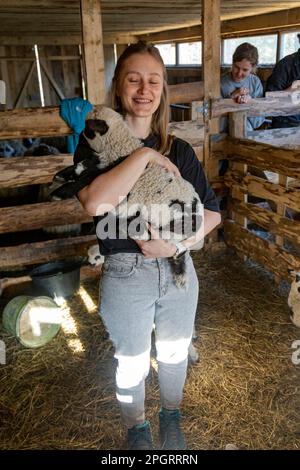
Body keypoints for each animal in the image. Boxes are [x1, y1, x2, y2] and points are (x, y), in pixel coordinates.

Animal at [51, 106, 204, 288]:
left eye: (87, 130)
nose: (78, 146)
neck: (121, 148)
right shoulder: (101, 163)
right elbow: (82, 168)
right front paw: (61, 176)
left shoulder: (106, 172)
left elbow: (84, 177)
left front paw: (60, 192)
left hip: (169, 225)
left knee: (157, 239)